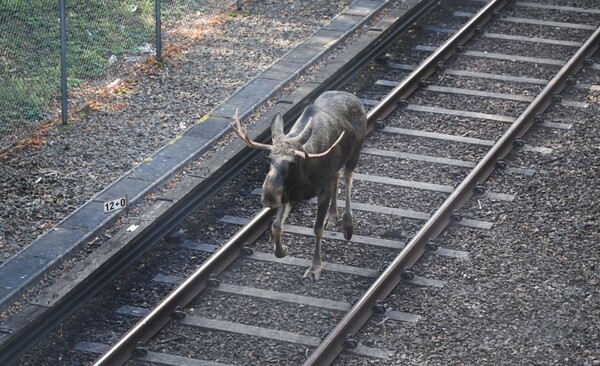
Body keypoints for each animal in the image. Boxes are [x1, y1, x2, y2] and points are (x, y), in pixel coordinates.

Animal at [232, 91, 368, 280]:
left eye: (292, 162)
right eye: (269, 158)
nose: (269, 196)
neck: (303, 178)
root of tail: (355, 99)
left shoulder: (323, 191)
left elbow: (317, 228)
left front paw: (315, 266)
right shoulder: (288, 195)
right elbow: (276, 226)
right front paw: (281, 251)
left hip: (354, 153)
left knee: (348, 178)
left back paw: (347, 224)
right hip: (336, 166)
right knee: (337, 176)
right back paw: (333, 216)